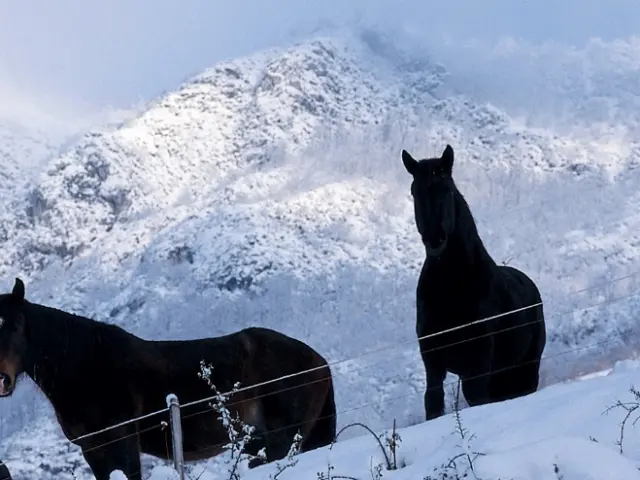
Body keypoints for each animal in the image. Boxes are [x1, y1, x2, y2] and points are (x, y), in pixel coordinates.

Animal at [0, 278, 336, 480]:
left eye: (15, 325)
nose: (2, 379)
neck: (87, 368)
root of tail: (320, 363)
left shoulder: (123, 447)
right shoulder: (93, 453)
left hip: (282, 441)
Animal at [401, 144, 546, 421]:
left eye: (446, 189)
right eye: (414, 192)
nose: (435, 240)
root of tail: (530, 285)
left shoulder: (478, 364)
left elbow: (477, 398)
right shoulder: (432, 361)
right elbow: (433, 402)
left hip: (525, 369)